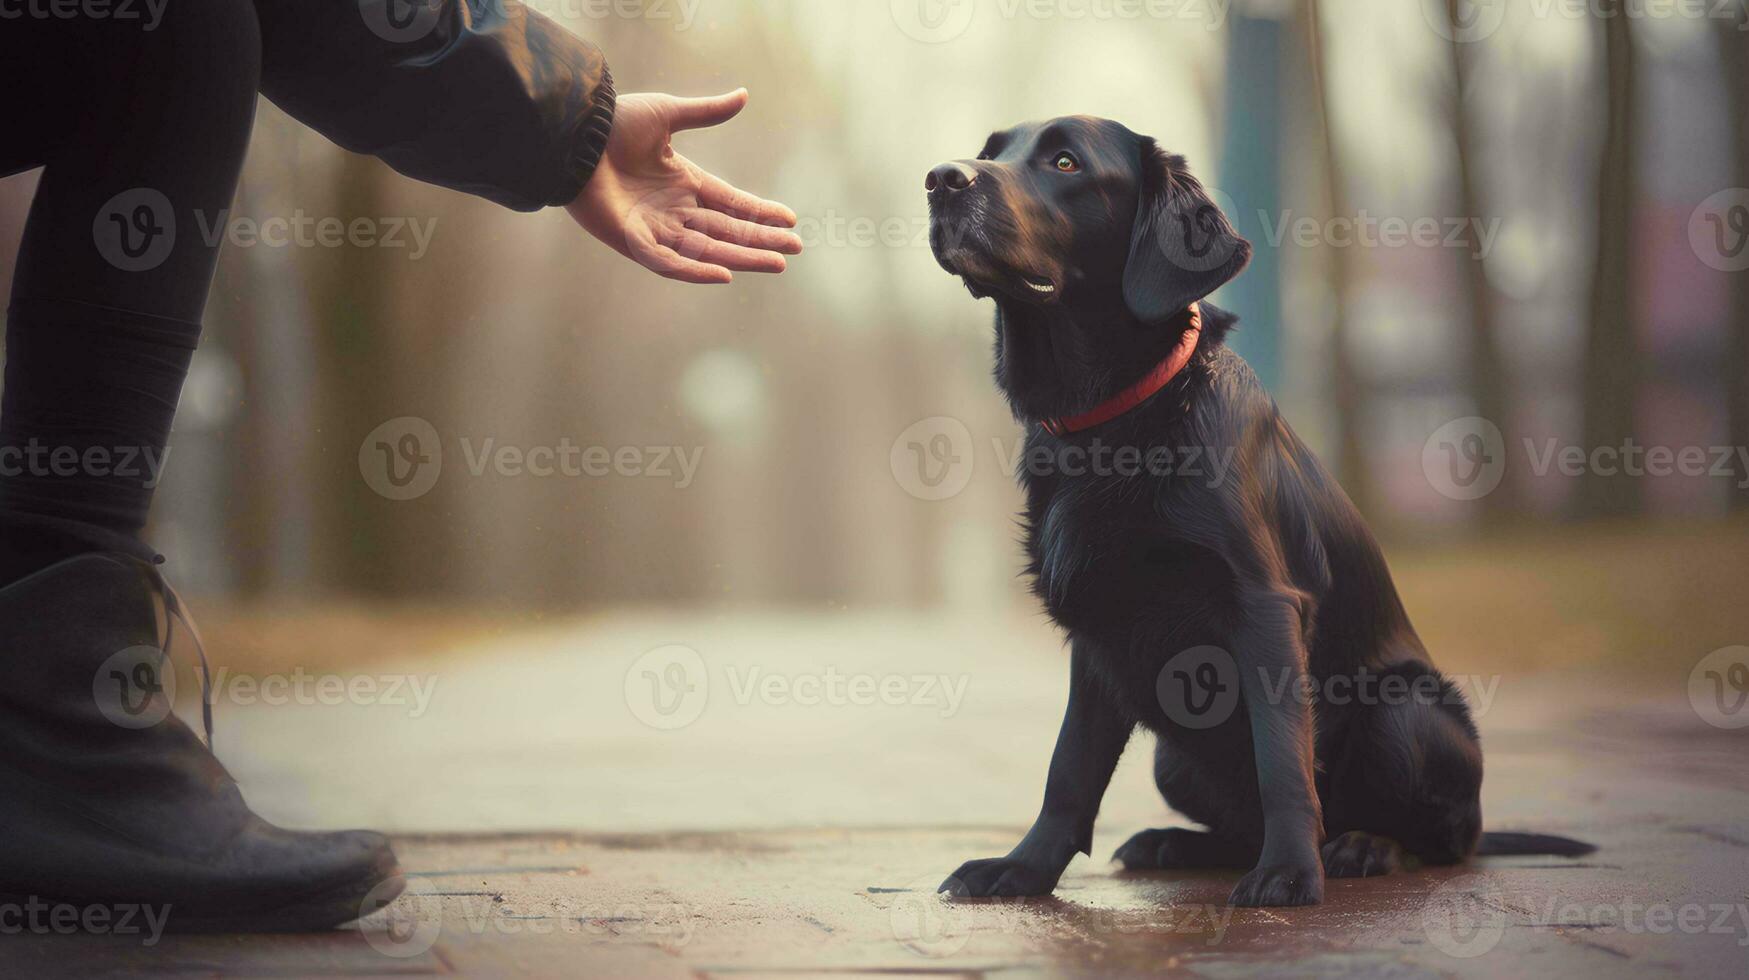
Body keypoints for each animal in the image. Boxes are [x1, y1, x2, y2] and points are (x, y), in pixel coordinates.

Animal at [923, 116, 1595, 910]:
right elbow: (1070, 768)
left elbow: (1282, 760)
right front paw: (1022, 869)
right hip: (1173, 758)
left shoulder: (1263, 606)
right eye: (991, 153)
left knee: (1446, 842)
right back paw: (1174, 843)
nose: (941, 179)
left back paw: (1363, 847)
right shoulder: (1097, 628)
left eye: (1064, 162)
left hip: (1404, 708)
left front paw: (1289, 872)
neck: (1115, 423)